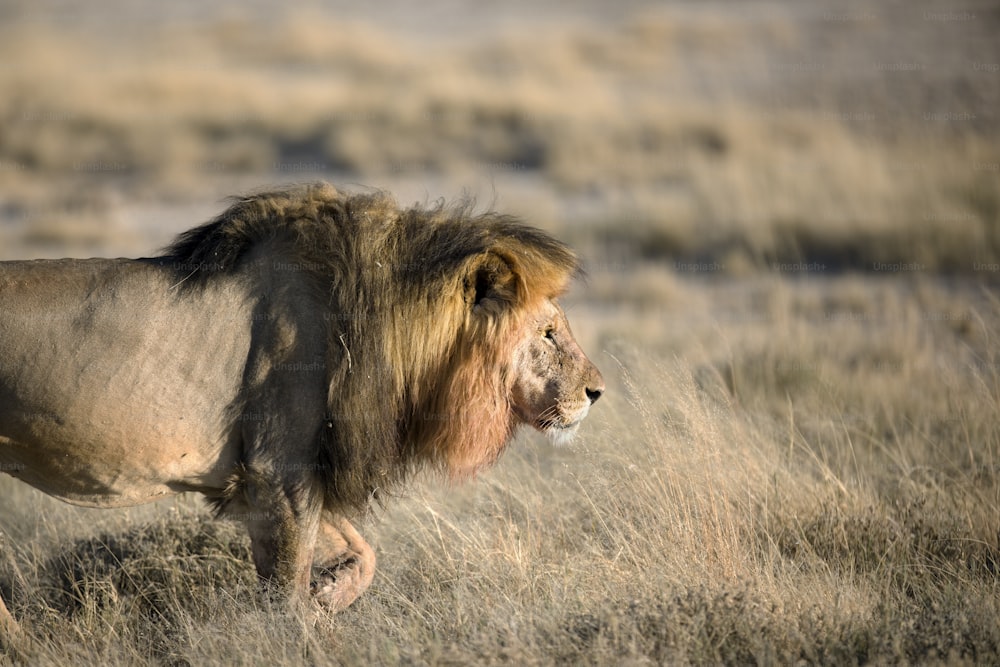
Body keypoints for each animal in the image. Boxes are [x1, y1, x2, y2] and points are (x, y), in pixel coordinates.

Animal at [0, 180, 600, 640]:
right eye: (548, 333)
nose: (597, 392)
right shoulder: (279, 472)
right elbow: (288, 584)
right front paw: (299, 627)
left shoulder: (280, 476)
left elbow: (361, 556)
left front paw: (326, 596)